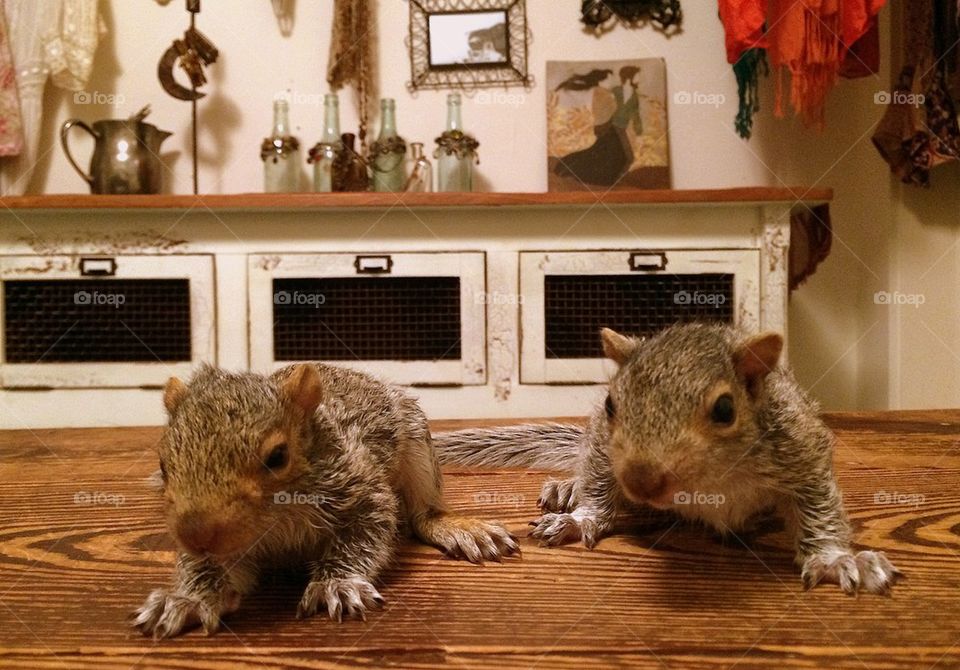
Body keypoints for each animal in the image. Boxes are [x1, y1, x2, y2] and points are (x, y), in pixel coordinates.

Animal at [133, 362, 519, 639]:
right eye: (163, 465)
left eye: (277, 456)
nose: (194, 533)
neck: (279, 518)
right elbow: (213, 569)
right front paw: (188, 599)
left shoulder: (361, 491)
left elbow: (364, 534)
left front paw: (337, 584)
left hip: (417, 444)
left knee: (424, 515)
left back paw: (458, 529)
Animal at [435, 323, 902, 595]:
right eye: (610, 403)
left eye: (726, 409)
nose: (641, 481)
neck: (710, 481)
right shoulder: (604, 447)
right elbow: (599, 484)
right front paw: (580, 518)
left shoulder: (801, 449)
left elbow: (818, 505)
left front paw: (836, 559)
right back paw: (568, 487)